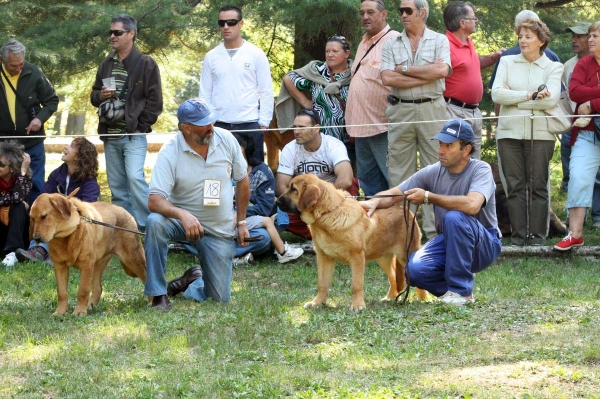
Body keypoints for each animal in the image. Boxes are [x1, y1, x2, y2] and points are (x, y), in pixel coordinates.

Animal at [278, 174, 426, 310]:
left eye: (293, 189)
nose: (276, 201)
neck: (328, 212)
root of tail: (406, 210)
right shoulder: (324, 258)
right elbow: (322, 284)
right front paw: (317, 303)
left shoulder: (357, 258)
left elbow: (356, 285)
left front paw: (358, 305)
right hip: (383, 259)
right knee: (393, 277)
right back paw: (389, 298)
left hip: (405, 256)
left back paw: (423, 300)